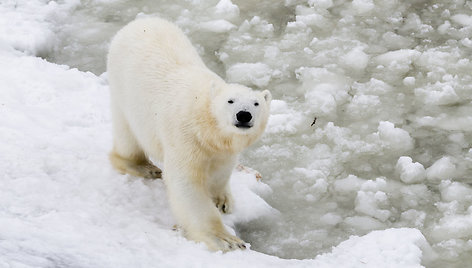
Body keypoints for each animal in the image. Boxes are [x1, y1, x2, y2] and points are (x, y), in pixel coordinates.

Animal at [105, 17, 272, 252]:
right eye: (230, 101)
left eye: (256, 103)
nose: (244, 115)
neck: (207, 125)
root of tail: (141, 21)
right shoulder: (185, 136)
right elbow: (186, 183)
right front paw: (225, 239)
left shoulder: (222, 149)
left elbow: (221, 170)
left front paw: (222, 200)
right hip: (123, 89)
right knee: (128, 135)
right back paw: (143, 167)